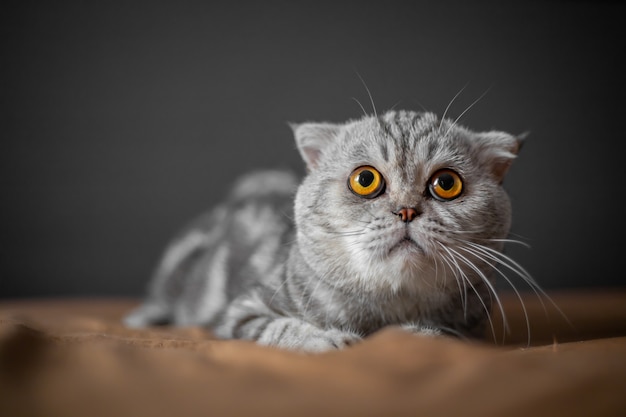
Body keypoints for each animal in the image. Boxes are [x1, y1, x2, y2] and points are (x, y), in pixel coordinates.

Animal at [127, 109, 528, 352]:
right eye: (365, 179)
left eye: (446, 183)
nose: (406, 210)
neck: (387, 305)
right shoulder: (243, 311)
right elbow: (280, 329)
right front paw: (327, 339)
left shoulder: (471, 325)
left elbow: (444, 335)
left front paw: (416, 334)